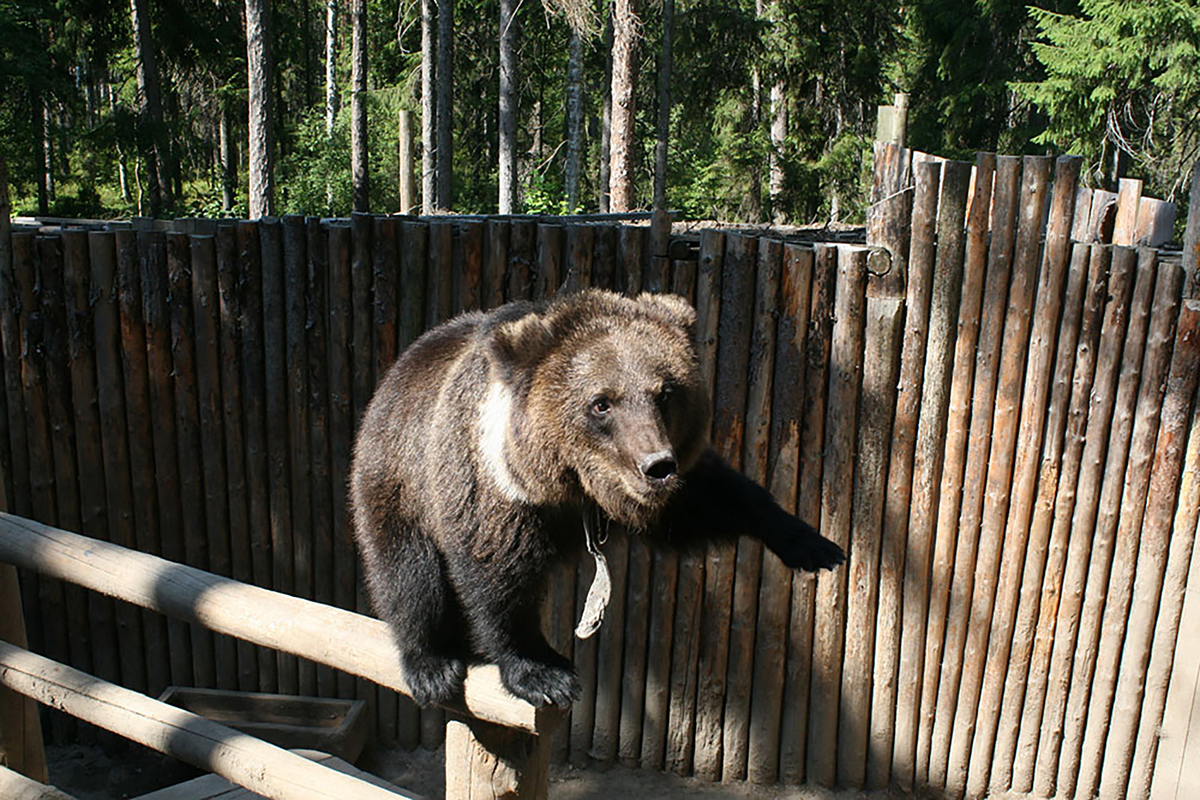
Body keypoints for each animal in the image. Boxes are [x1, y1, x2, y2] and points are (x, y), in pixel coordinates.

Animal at [350, 286, 844, 705]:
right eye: (602, 402)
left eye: (665, 392)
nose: (657, 465)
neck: (574, 488)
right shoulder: (495, 490)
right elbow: (497, 575)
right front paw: (544, 673)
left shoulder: (659, 493)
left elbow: (714, 499)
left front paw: (814, 544)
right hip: (397, 478)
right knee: (407, 571)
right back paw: (431, 664)